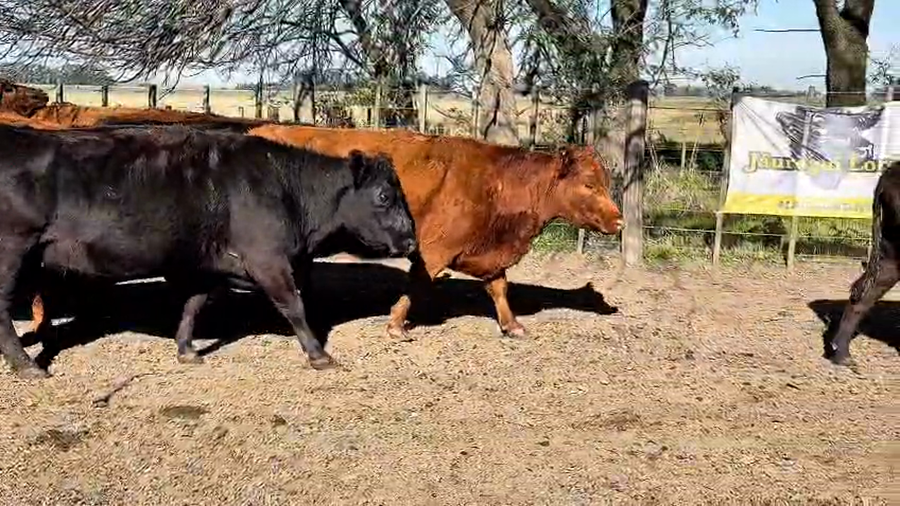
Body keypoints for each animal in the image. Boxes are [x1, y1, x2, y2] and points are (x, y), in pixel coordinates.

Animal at [0, 123, 417, 379]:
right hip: (13, 252)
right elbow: (294, 306)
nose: (412, 240)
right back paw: (27, 365)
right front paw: (319, 355)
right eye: (384, 196)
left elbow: (193, 306)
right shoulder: (268, 260)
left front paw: (186, 350)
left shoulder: (205, 267)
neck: (287, 189)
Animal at [246, 125, 623, 340]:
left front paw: (512, 325)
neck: (496, 184)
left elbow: (499, 287)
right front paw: (396, 326)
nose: (620, 222)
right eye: (589, 184)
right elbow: (418, 284)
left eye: (605, 181)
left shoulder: (486, 254)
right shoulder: (433, 249)